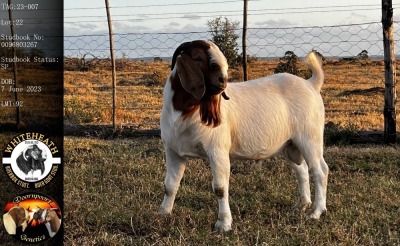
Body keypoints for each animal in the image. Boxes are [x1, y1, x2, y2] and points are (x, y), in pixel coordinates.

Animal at [158, 40, 330, 231]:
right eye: (197, 57)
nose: (223, 81)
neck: (185, 111)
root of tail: (311, 84)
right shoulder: (173, 151)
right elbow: (170, 184)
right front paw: (163, 213)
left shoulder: (217, 150)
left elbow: (220, 188)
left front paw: (224, 224)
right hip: (290, 145)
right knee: (302, 171)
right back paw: (301, 206)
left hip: (310, 138)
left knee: (320, 170)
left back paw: (316, 212)